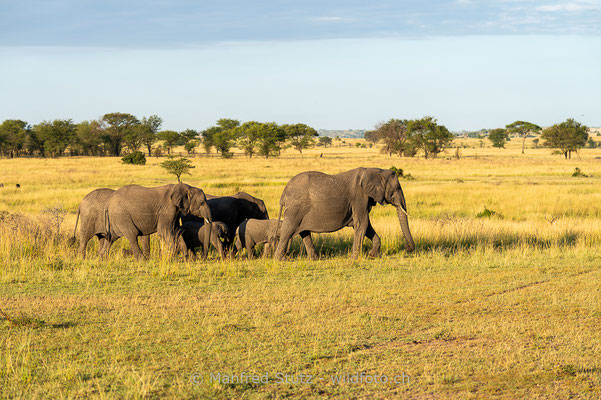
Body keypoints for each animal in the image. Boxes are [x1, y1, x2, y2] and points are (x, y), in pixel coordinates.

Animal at [274, 167, 414, 260]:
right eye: (397, 188)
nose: (407, 248)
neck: (375, 170)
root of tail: (283, 194)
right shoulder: (360, 196)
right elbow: (362, 224)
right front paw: (354, 259)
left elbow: (366, 225)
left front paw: (372, 255)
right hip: (295, 208)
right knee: (288, 230)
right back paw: (280, 259)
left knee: (304, 232)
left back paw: (314, 259)